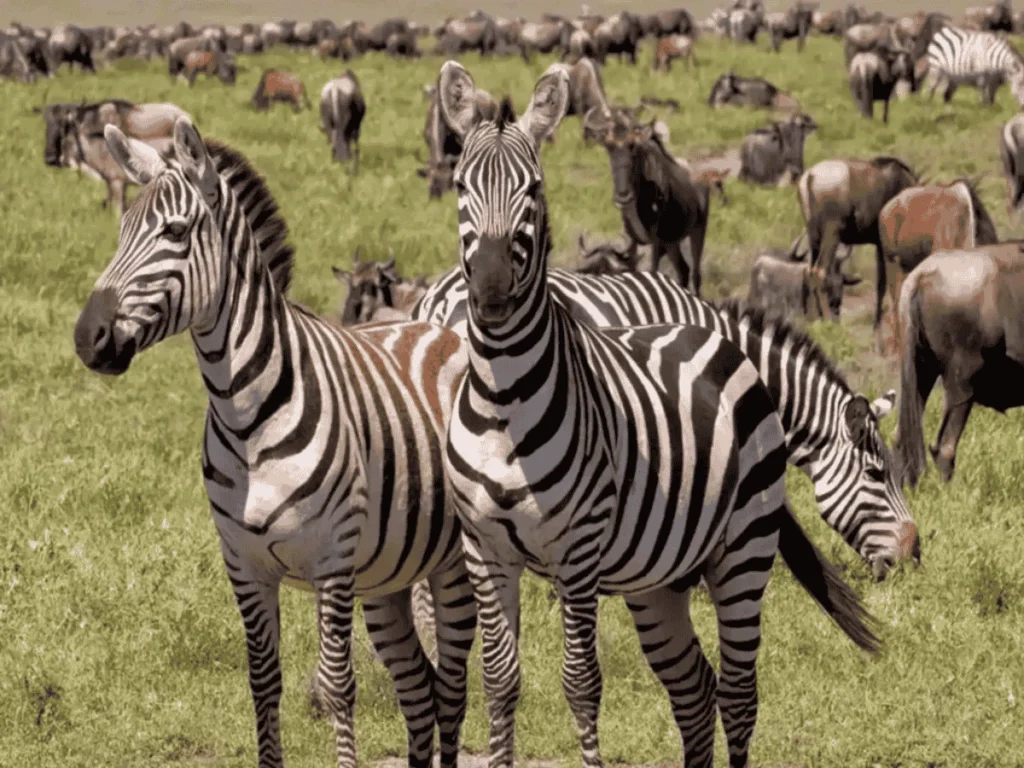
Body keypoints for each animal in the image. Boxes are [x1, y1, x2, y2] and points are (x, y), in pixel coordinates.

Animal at [72, 117, 476, 768]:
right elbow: (263, 683)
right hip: (387, 576)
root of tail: (436, 327)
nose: (89, 337)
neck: (246, 415)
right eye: (121, 230)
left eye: (175, 231)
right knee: (420, 687)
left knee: (459, 684)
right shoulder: (244, 565)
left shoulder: (332, 561)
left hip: (455, 564)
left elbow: (337, 686)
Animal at [436, 60, 880, 768]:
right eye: (459, 185)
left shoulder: (578, 552)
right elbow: (500, 681)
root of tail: (706, 330)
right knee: (695, 689)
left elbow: (581, 682)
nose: (493, 290)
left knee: (739, 693)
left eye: (534, 187)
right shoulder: (485, 548)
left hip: (744, 550)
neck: (503, 395)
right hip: (657, 578)